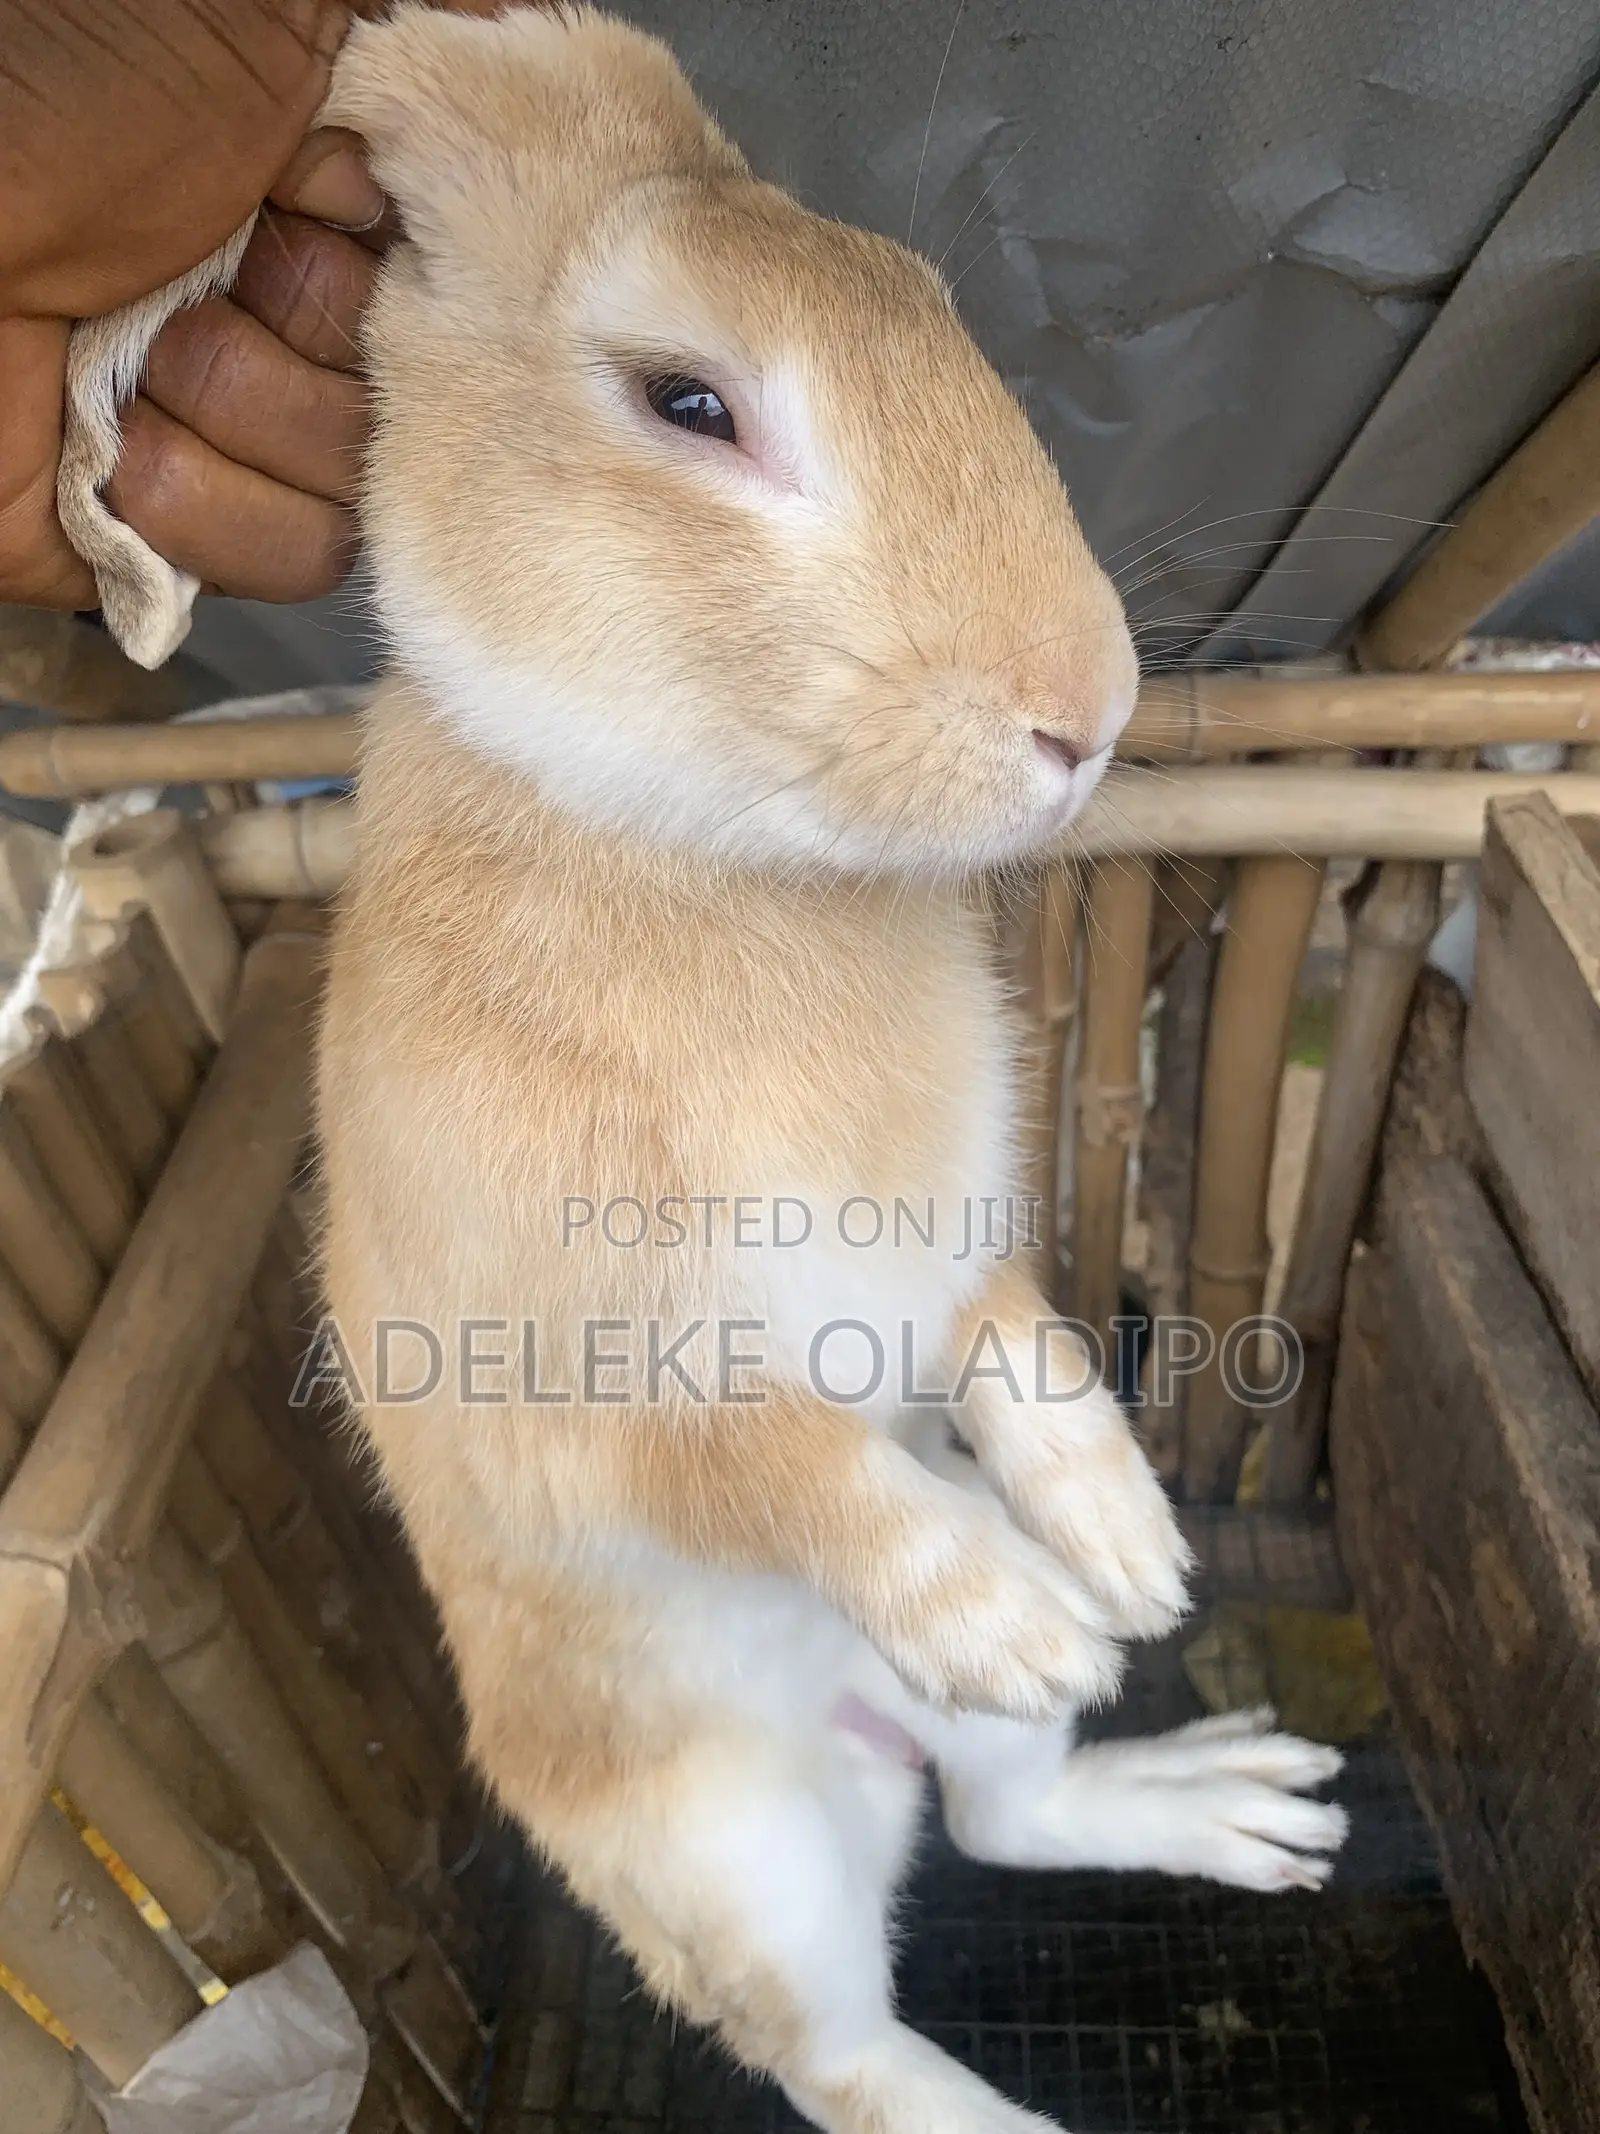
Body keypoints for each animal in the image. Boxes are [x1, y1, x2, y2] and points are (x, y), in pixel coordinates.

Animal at [59, 9, 1347, 2129]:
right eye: (687, 400)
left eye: (928, 303)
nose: (1088, 711)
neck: (702, 845)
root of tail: (870, 1738)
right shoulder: (599, 1384)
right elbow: (784, 1465)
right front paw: (1017, 1607)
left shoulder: (952, 1252)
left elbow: (1014, 1342)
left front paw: (1128, 1556)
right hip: (735, 1849)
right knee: (848, 2056)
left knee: (1008, 1820)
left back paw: (1193, 1768)